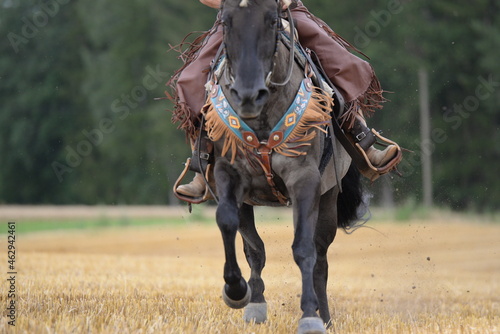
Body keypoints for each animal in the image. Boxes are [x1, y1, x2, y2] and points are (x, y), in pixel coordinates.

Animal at [198, 0, 364, 332]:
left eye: (273, 20)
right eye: (225, 22)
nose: (248, 95)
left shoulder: (305, 180)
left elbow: (304, 248)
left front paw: (310, 315)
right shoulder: (229, 173)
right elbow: (230, 224)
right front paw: (237, 291)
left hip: (328, 197)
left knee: (320, 256)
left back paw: (324, 316)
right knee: (254, 249)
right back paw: (255, 303)